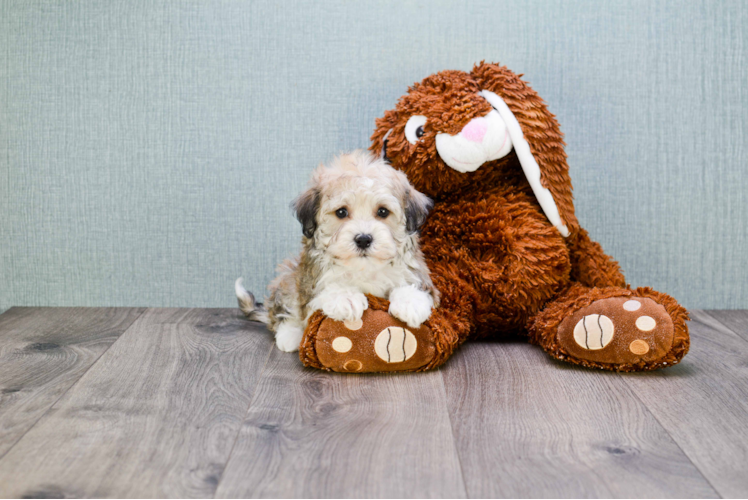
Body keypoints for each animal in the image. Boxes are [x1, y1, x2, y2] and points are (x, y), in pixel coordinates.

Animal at [234, 149, 438, 352]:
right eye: (341, 212)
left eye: (382, 212)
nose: (363, 239)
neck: (364, 268)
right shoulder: (311, 284)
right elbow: (320, 296)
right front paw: (345, 297)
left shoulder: (423, 280)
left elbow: (413, 287)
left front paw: (410, 302)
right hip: (289, 277)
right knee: (284, 311)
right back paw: (289, 336)